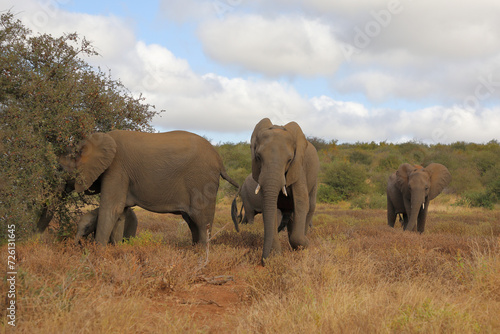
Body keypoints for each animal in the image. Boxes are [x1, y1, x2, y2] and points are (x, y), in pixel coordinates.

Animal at [58, 130, 238, 245]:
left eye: (60, 170)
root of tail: (219, 160)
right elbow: (120, 213)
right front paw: (116, 249)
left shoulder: (116, 168)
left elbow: (111, 208)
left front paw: (98, 253)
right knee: (191, 221)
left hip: (201, 180)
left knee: (201, 220)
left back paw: (202, 255)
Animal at [242, 118, 320, 264]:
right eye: (258, 157)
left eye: (289, 160)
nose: (263, 261)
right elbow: (270, 208)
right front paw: (275, 257)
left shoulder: (298, 167)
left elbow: (301, 203)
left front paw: (304, 245)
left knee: (310, 206)